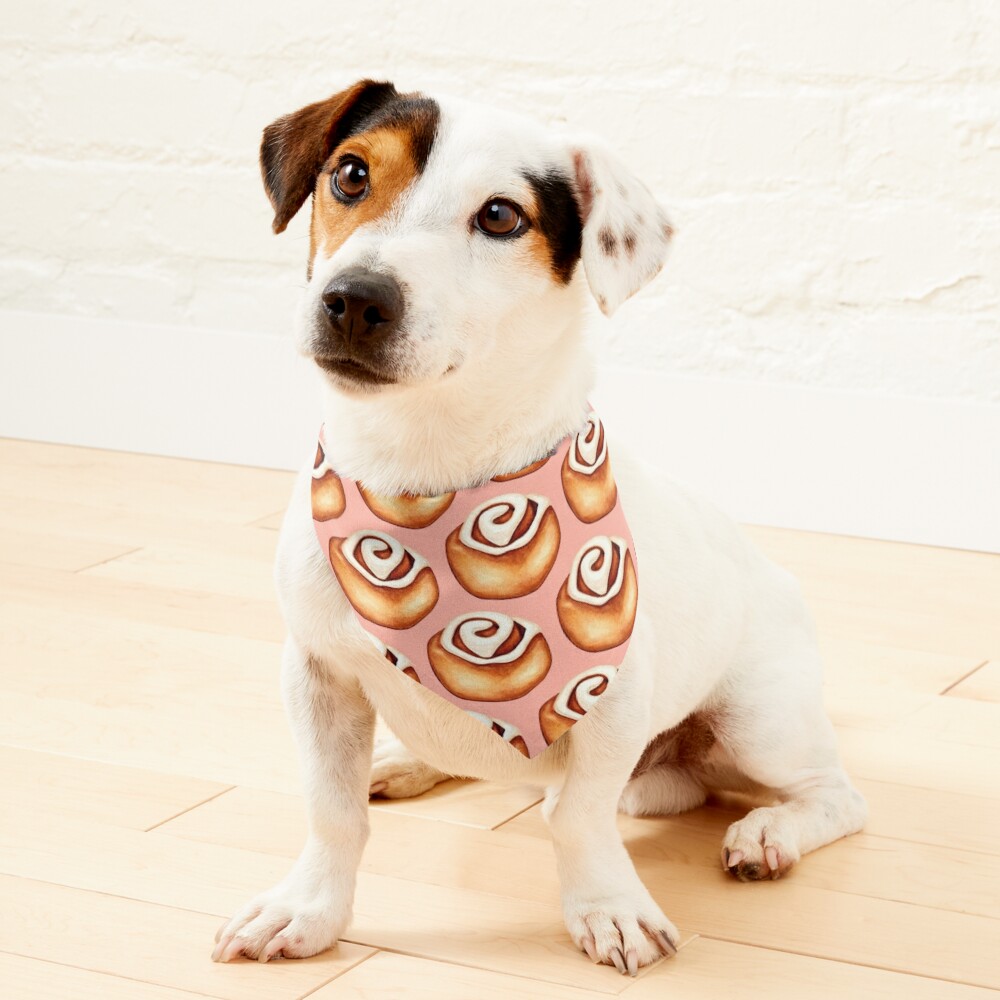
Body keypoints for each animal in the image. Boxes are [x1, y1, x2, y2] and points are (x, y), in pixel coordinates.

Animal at [213, 78, 868, 976]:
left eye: (500, 216)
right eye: (350, 174)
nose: (354, 298)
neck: (424, 473)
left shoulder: (612, 700)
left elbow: (579, 817)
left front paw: (608, 907)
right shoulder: (317, 677)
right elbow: (332, 810)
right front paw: (309, 909)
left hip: (760, 720)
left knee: (833, 796)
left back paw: (770, 833)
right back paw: (407, 761)